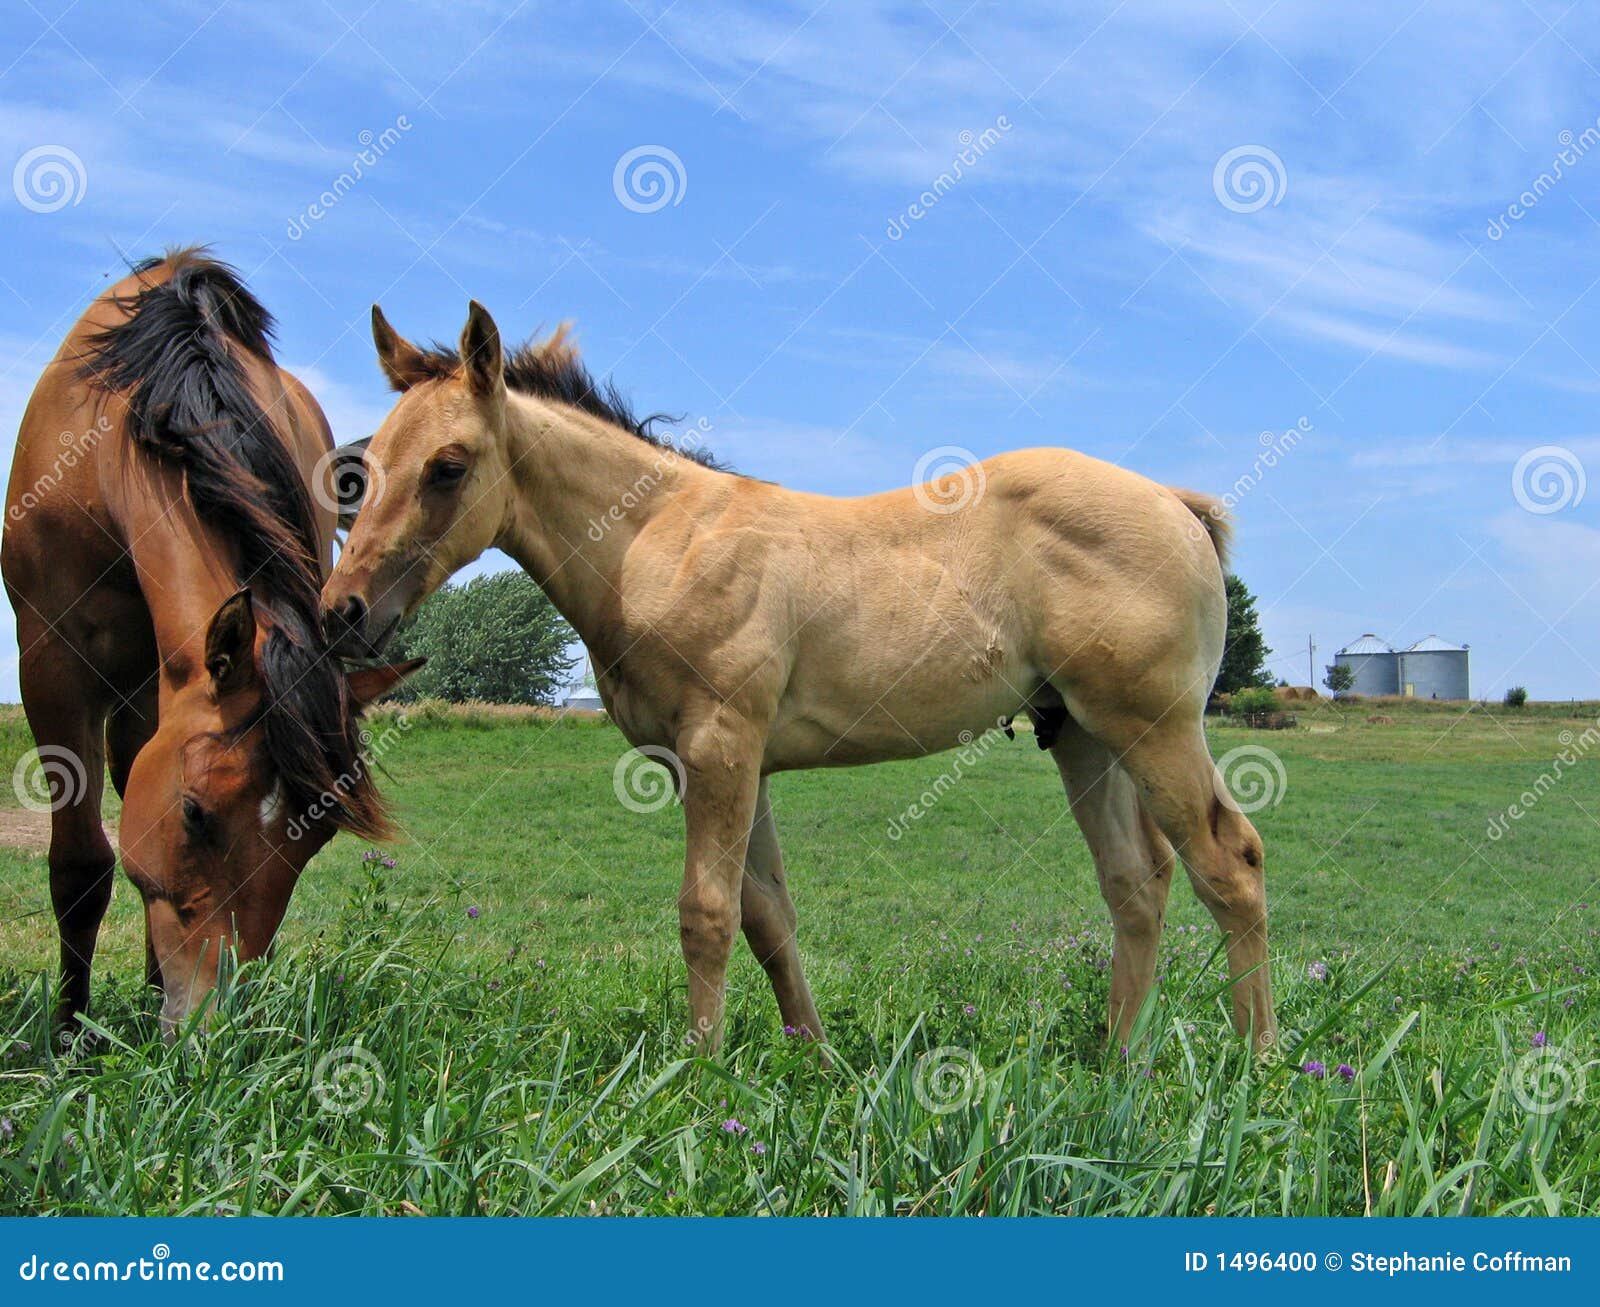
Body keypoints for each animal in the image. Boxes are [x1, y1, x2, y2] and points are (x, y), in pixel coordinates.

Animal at [2, 249, 416, 1038]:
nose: (208, 1023)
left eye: (316, 838)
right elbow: (81, 867)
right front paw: (68, 1035)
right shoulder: (52, 664)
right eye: (195, 812)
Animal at [322, 300, 1277, 1053]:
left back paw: (1256, 1065)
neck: (659, 538)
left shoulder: (721, 746)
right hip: (1079, 732)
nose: (344, 613)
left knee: (1230, 863)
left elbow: (706, 916)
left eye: (448, 467)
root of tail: (1176, 504)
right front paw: (812, 1059)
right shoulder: (717, 763)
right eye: (364, 471)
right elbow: (767, 918)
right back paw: (1117, 1063)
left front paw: (700, 1078)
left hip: (1154, 727)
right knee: (1136, 884)